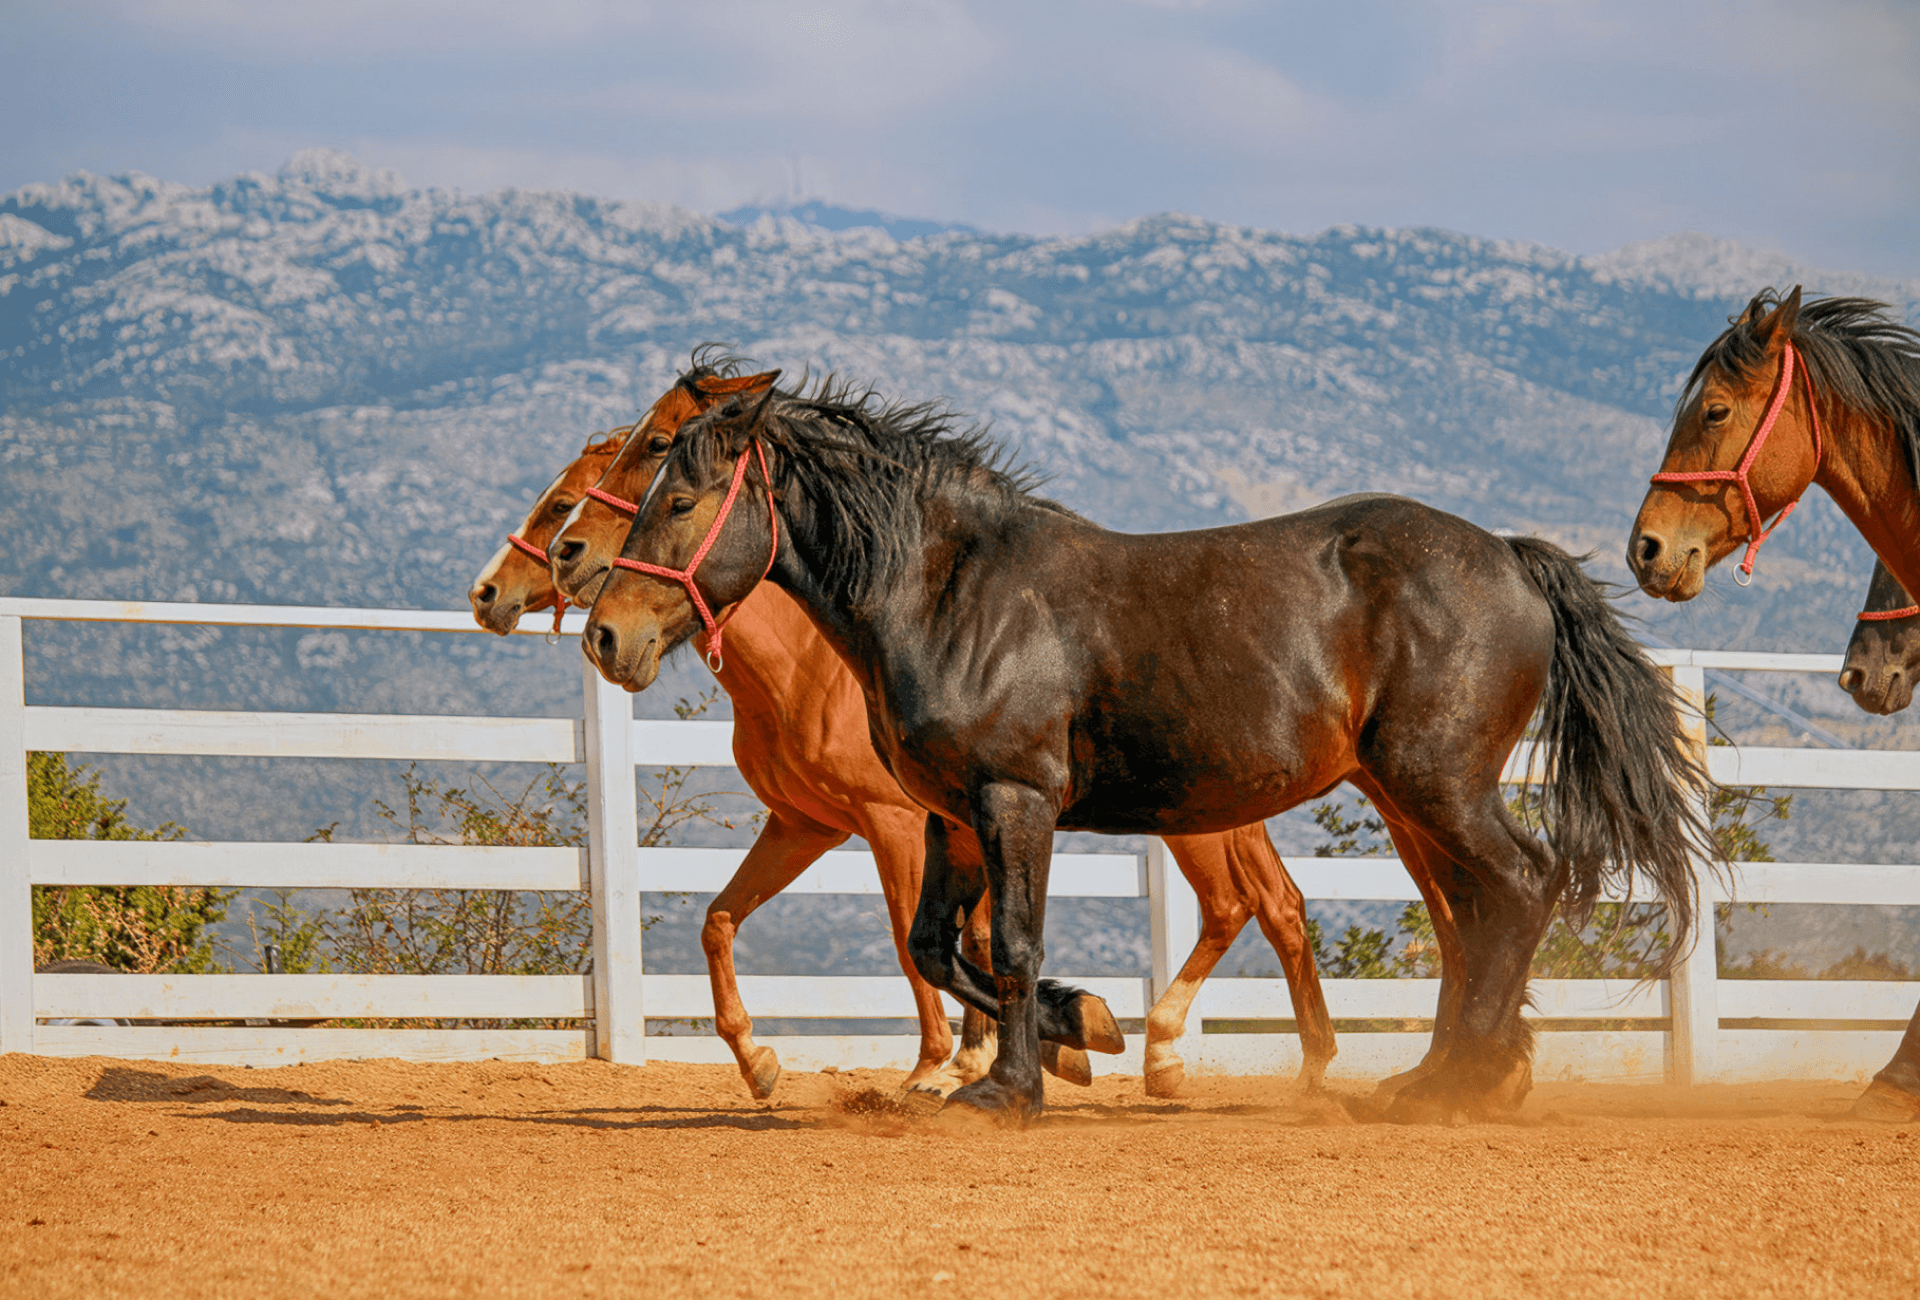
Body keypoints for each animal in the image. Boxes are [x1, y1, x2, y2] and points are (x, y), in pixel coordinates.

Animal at [476, 362, 1336, 1098]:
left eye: (656, 453)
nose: (504, 586)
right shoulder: (812, 824)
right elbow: (724, 920)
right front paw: (762, 1062)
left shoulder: (902, 819)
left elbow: (921, 940)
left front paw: (951, 1064)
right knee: (1275, 904)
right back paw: (1262, 1061)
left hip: (1194, 817)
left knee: (1240, 905)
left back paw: (1188, 1052)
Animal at [583, 380, 1712, 1121]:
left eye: (677, 496)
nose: (604, 636)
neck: (951, 590)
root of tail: (1515, 561)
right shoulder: (950, 815)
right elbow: (940, 945)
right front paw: (1084, 1029)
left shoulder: (1015, 800)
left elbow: (1013, 941)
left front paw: (1013, 1087)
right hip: (1414, 795)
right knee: (1471, 915)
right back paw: (1435, 1075)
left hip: (1440, 785)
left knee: (1518, 888)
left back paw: (1462, 1082)